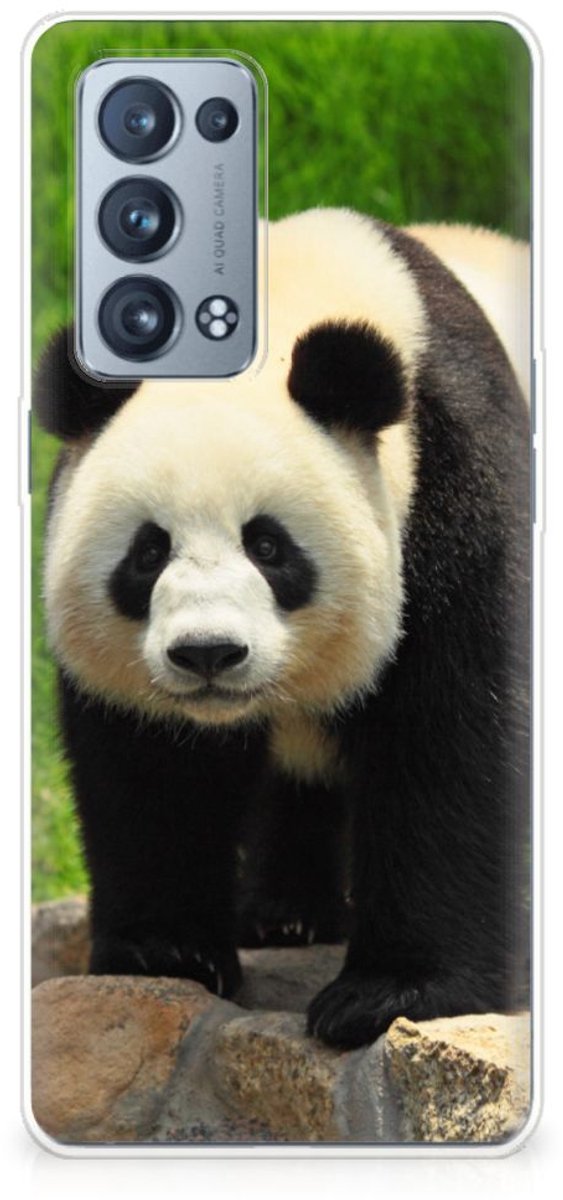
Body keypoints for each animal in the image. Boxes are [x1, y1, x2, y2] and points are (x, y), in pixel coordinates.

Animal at [35, 209, 531, 1050]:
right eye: (147, 552)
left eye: (267, 546)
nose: (207, 653)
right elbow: (150, 767)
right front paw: (167, 952)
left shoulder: (456, 483)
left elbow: (452, 735)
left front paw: (390, 992)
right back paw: (284, 915)